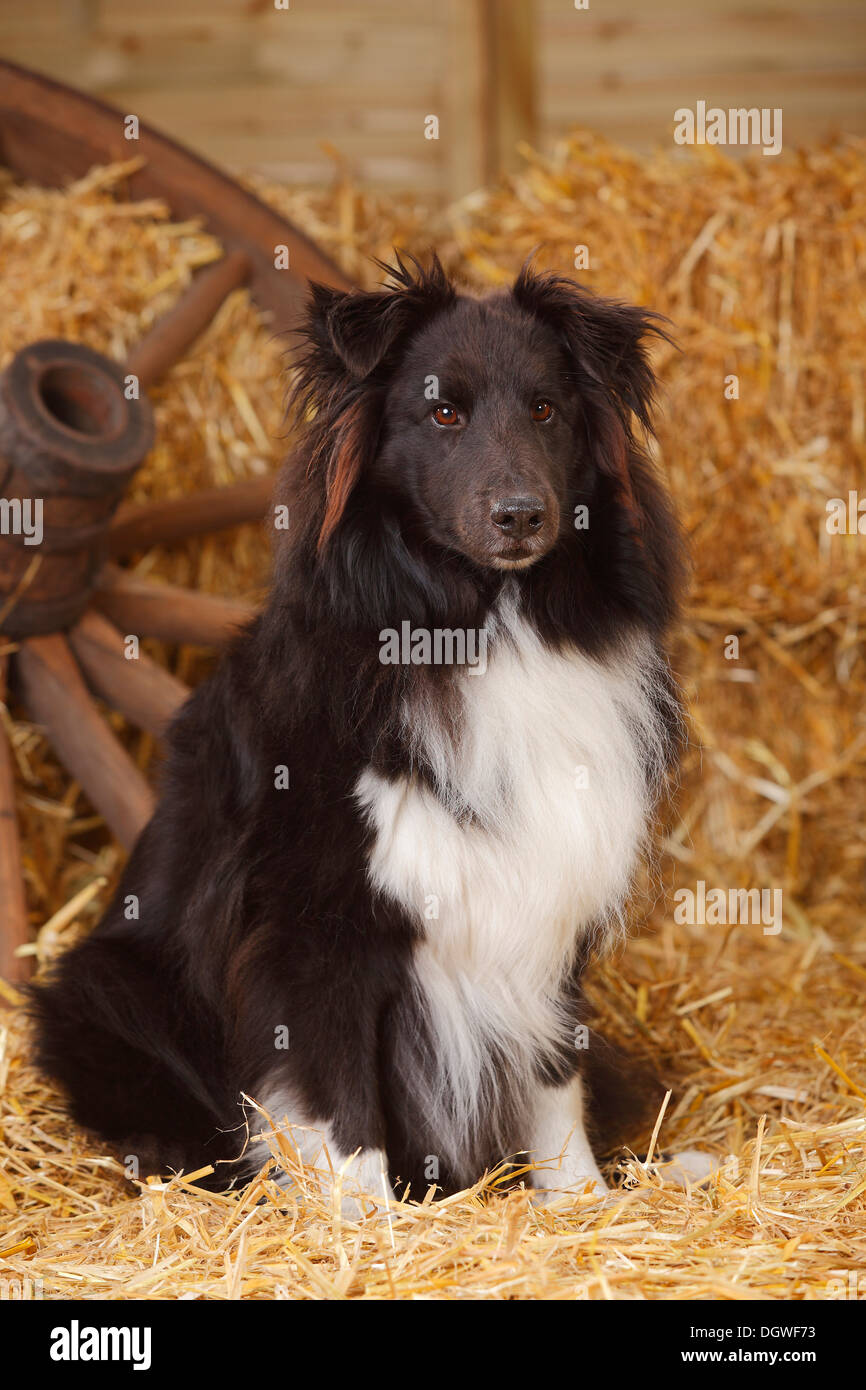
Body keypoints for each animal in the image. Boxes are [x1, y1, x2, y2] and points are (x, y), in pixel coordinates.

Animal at [32, 255, 692, 1212]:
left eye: (546, 409)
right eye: (442, 412)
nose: (521, 515)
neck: (483, 624)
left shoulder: (554, 884)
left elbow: (553, 1073)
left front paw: (582, 1204)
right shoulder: (314, 924)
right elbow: (340, 1094)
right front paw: (369, 1223)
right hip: (105, 985)